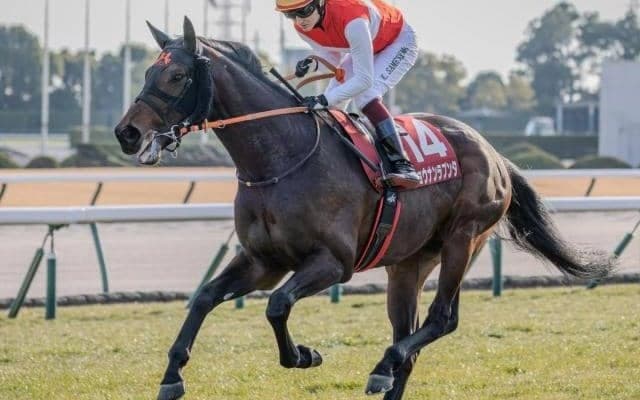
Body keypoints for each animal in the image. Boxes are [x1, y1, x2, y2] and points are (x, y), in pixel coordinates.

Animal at [114, 17, 614, 400]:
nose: (127, 133)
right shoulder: (262, 261)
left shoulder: (334, 263)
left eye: (177, 77)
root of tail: (494, 154)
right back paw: (388, 371)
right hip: (409, 263)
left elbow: (277, 306)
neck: (280, 159)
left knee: (439, 321)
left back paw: (380, 367)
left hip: (464, 239)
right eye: (146, 72)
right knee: (408, 339)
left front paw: (304, 355)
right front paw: (172, 376)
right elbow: (203, 298)